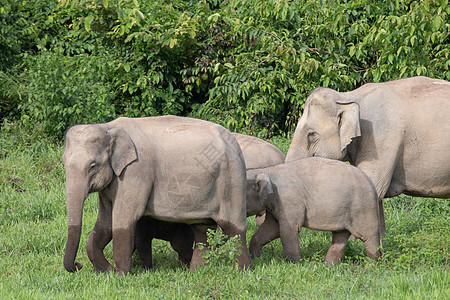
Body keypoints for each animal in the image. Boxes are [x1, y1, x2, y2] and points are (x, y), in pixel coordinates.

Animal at [62, 115, 253, 274]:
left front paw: (120, 275)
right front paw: (105, 271)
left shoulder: (136, 172)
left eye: (92, 166)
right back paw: (197, 272)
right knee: (202, 231)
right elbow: (105, 221)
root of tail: (235, 143)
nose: (78, 266)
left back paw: (241, 272)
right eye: (63, 162)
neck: (108, 127)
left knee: (234, 229)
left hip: (232, 180)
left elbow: (123, 219)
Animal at [246, 157, 380, 264]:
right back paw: (329, 265)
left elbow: (288, 230)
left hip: (363, 207)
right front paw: (255, 258)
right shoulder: (275, 206)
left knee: (368, 236)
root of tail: (372, 184)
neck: (267, 170)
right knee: (340, 236)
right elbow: (271, 229)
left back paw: (372, 265)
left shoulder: (289, 201)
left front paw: (295, 264)